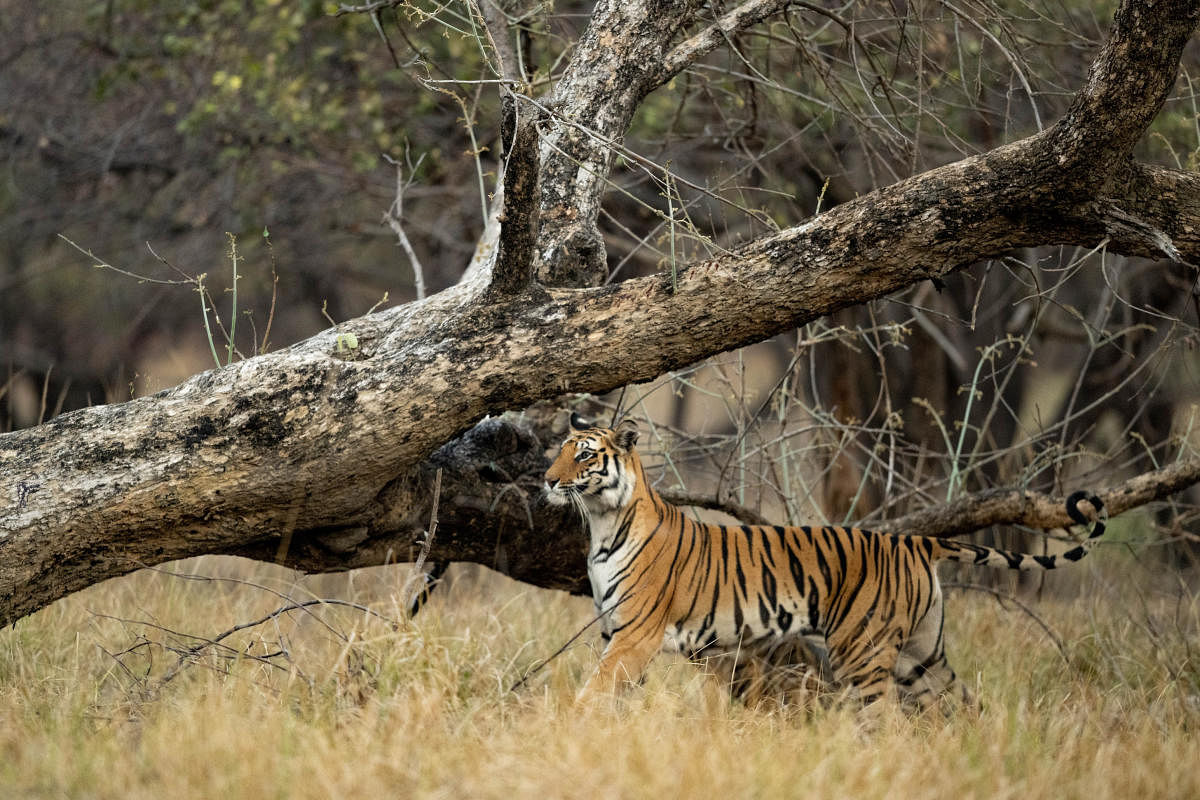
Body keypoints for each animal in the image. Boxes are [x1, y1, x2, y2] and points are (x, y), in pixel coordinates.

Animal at [544, 417, 1104, 710]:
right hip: (922, 655)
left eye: (585, 455)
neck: (601, 523)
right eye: (559, 450)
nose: (547, 479)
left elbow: (592, 692)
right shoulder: (616, 633)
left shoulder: (633, 638)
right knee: (964, 705)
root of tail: (915, 543)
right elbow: (614, 698)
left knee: (884, 721)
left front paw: (570, 730)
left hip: (863, 652)